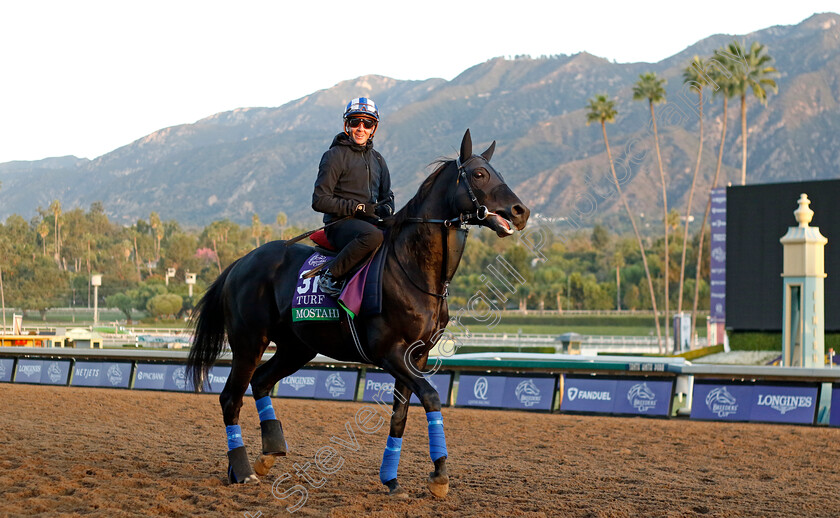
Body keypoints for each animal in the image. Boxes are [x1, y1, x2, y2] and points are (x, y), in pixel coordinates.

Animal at [189, 129, 532, 500]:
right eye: (480, 174)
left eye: (497, 172)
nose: (521, 211)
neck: (412, 269)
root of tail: (239, 262)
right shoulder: (390, 352)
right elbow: (431, 397)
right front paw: (439, 475)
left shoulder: (418, 356)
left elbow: (400, 416)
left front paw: (392, 479)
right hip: (249, 342)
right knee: (230, 398)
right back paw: (242, 470)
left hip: (297, 348)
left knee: (261, 381)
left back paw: (268, 454)